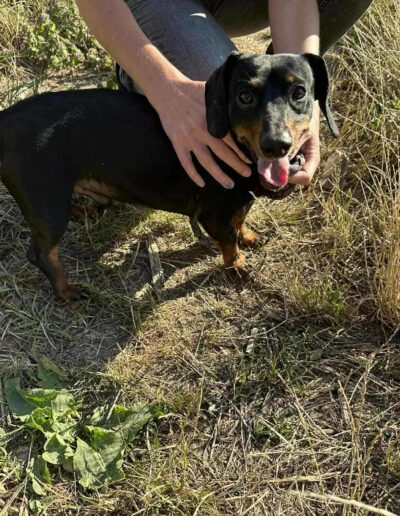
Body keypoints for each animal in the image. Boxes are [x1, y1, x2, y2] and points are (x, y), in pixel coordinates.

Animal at [0, 52, 338, 302]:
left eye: (299, 92)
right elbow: (228, 241)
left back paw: (84, 211)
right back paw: (67, 290)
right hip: (48, 202)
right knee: (41, 252)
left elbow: (240, 220)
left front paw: (249, 236)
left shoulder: (238, 203)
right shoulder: (213, 215)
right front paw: (237, 265)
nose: (275, 144)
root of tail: (7, 118)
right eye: (244, 96)